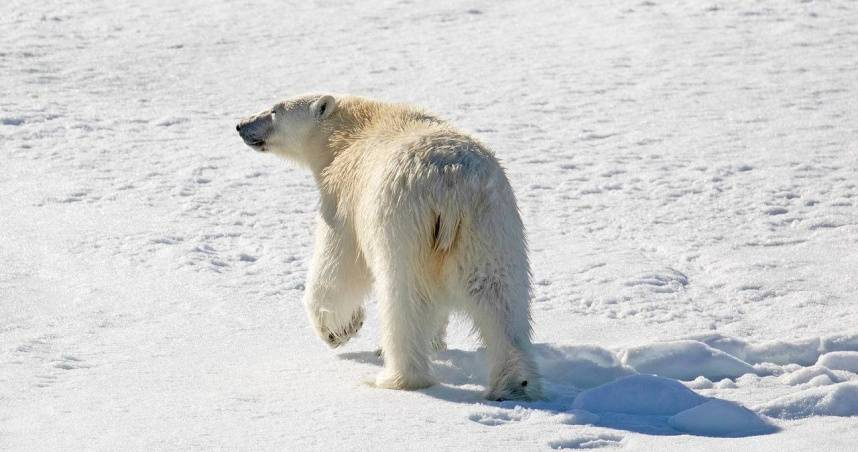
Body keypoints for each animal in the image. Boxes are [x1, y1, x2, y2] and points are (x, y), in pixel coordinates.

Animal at [236, 94, 541, 401]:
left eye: (274, 110)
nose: (241, 125)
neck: (350, 132)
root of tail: (451, 185)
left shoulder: (343, 199)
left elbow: (337, 266)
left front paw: (339, 329)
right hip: (489, 226)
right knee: (499, 296)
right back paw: (514, 383)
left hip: (404, 224)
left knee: (405, 299)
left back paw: (396, 377)